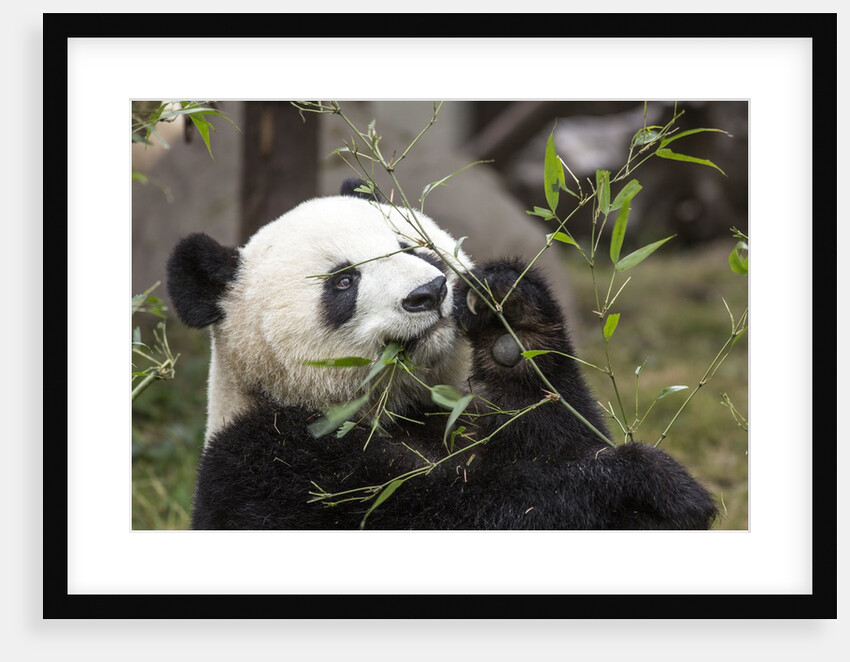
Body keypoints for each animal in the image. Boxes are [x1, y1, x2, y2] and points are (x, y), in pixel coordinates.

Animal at [166, 180, 718, 530]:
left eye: (414, 246)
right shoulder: (272, 466)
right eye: (343, 281)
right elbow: (457, 509)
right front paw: (643, 483)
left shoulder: (462, 412)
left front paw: (509, 321)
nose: (428, 293)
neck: (397, 408)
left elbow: (553, 428)